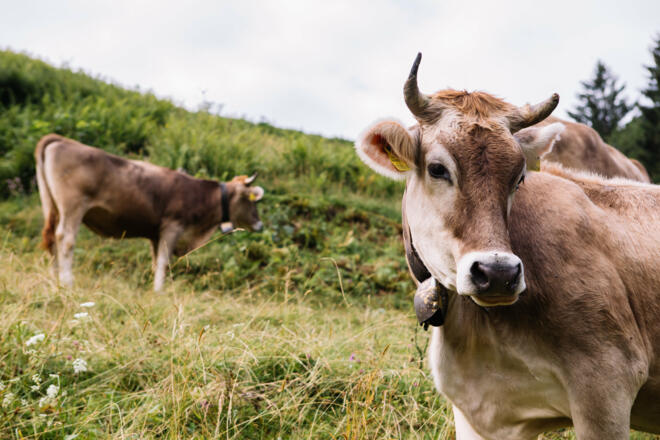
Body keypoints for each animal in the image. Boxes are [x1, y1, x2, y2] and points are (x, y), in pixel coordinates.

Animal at [35, 134, 265, 291]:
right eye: (252, 200)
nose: (260, 224)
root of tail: (61, 139)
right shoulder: (173, 226)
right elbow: (163, 262)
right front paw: (159, 292)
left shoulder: (156, 234)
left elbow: (156, 263)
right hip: (72, 206)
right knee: (65, 239)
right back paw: (67, 282)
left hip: (50, 205)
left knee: (51, 239)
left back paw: (53, 279)